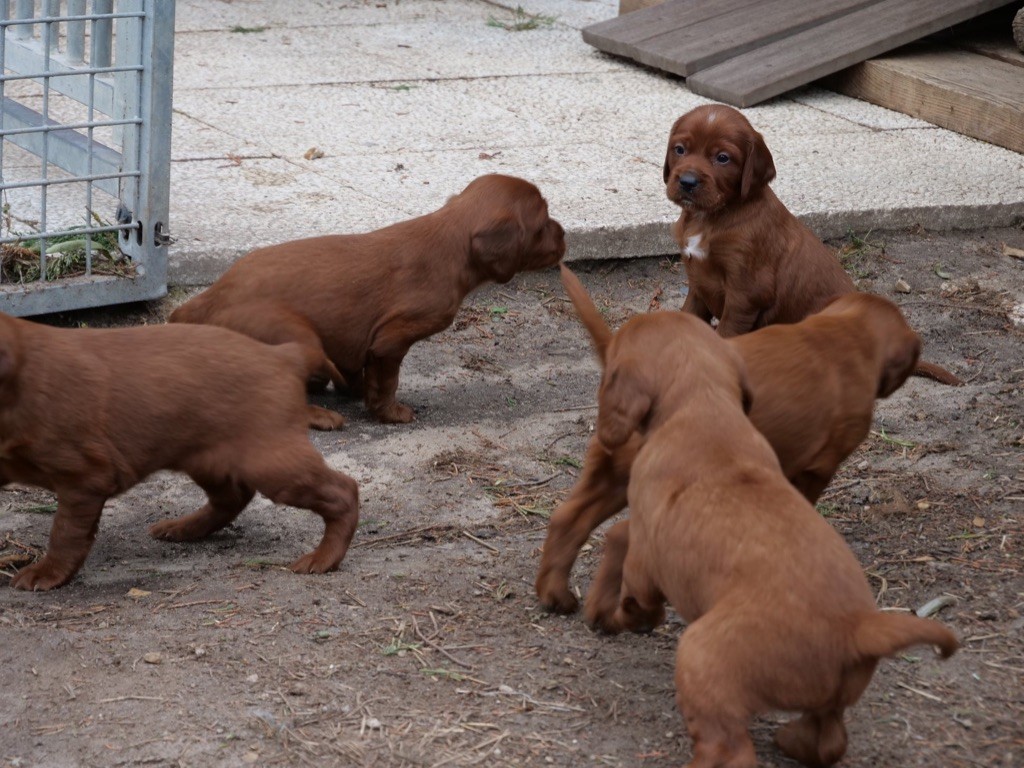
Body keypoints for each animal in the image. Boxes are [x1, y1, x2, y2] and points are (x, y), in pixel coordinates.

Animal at [0, 315, 360, 593]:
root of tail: (283, 354)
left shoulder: (85, 476)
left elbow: (65, 533)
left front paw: (45, 574)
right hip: (206, 458)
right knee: (232, 497)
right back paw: (184, 528)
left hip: (270, 461)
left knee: (343, 490)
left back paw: (324, 558)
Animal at [171, 173, 565, 428]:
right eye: (543, 222)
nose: (564, 234)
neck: (450, 240)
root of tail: (205, 300)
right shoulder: (391, 339)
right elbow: (386, 382)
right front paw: (389, 413)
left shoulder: (354, 338)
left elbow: (354, 368)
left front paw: (354, 391)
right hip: (293, 333)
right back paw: (321, 416)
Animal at [663, 103, 958, 385]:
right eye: (680, 149)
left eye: (723, 158)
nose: (687, 182)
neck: (711, 217)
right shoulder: (699, 282)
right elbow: (687, 317)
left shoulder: (745, 292)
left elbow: (727, 333)